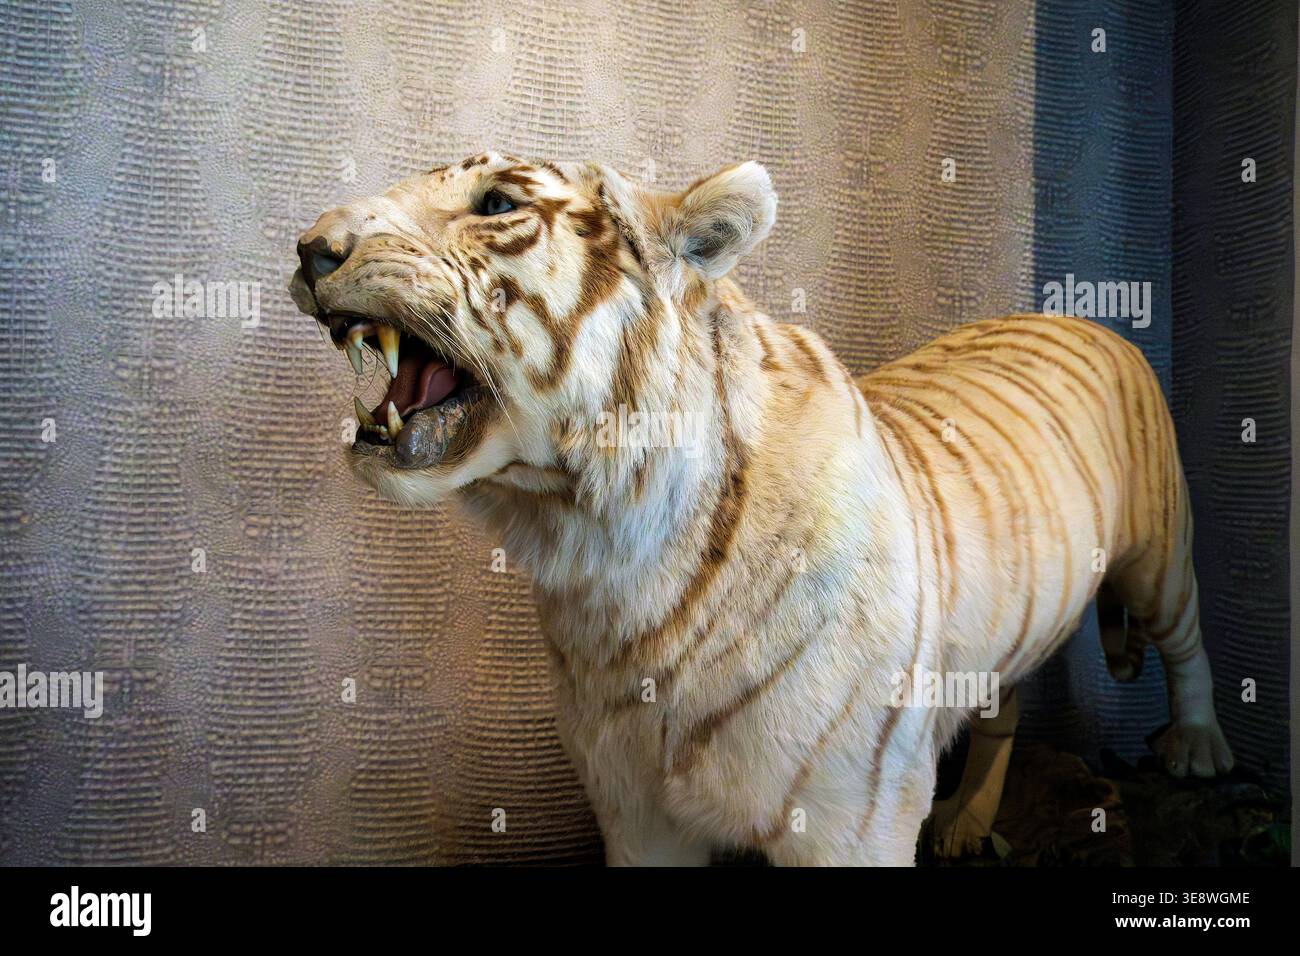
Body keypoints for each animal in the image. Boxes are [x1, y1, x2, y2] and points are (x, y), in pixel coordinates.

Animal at [289, 151, 1234, 866]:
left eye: (497, 203)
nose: (308, 248)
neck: (599, 551)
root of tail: (1077, 316)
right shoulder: (633, 812)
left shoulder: (854, 816)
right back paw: (968, 821)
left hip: (1156, 556)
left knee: (1188, 640)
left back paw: (1198, 750)